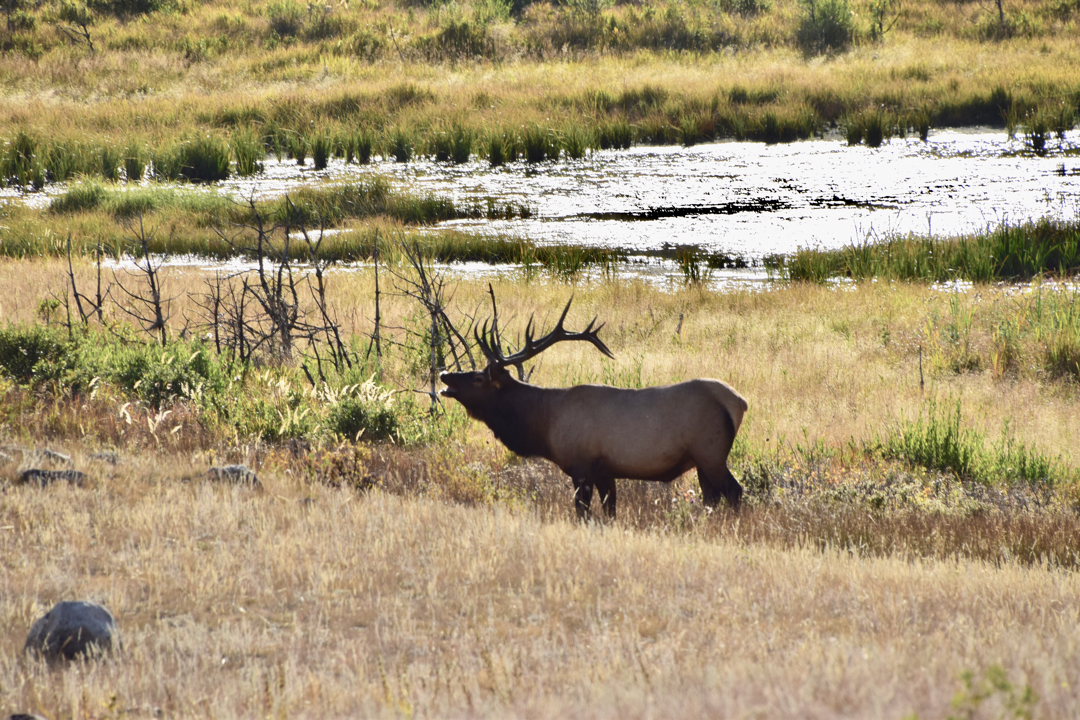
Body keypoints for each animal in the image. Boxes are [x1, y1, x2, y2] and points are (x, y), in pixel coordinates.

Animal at [440, 297, 751, 518]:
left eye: (478, 379)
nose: (444, 375)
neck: (544, 425)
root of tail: (739, 401)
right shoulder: (606, 471)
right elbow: (610, 513)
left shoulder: (582, 466)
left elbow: (583, 513)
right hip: (701, 460)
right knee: (712, 498)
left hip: (711, 452)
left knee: (735, 492)